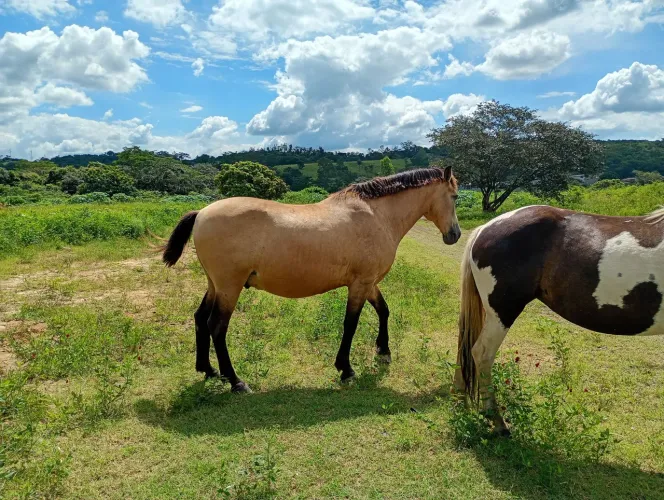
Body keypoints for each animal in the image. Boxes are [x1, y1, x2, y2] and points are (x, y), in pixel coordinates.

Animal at [162, 167, 461, 393]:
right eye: (455, 196)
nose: (455, 235)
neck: (377, 215)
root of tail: (201, 213)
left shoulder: (369, 283)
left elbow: (383, 311)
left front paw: (383, 351)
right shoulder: (360, 284)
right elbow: (350, 324)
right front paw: (346, 368)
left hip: (215, 285)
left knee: (200, 318)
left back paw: (209, 370)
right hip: (229, 287)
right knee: (216, 326)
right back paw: (235, 381)